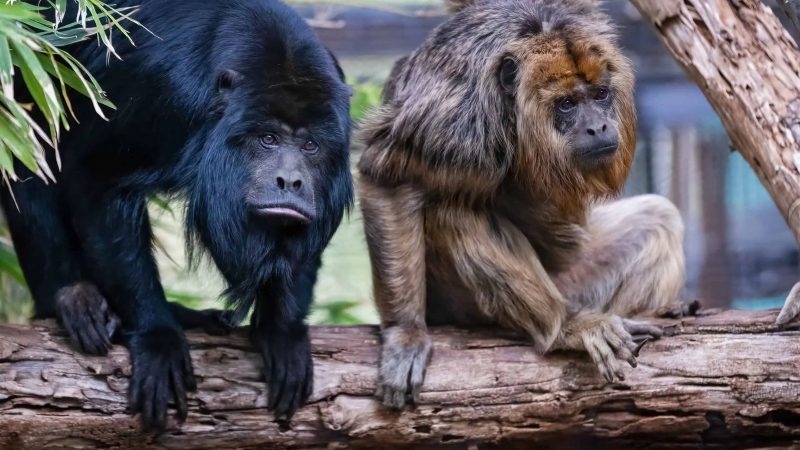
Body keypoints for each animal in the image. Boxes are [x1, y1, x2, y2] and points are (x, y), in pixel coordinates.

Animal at [5, 0, 353, 428]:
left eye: (310, 146)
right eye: (268, 139)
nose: (291, 181)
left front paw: (282, 332)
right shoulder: (162, 93)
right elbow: (95, 180)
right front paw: (156, 334)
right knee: (28, 147)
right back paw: (71, 299)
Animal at [357, 0, 686, 408]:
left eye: (600, 96)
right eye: (566, 104)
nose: (598, 127)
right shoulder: (454, 121)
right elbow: (388, 178)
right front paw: (405, 332)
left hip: (574, 281)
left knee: (659, 217)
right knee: (455, 212)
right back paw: (565, 327)